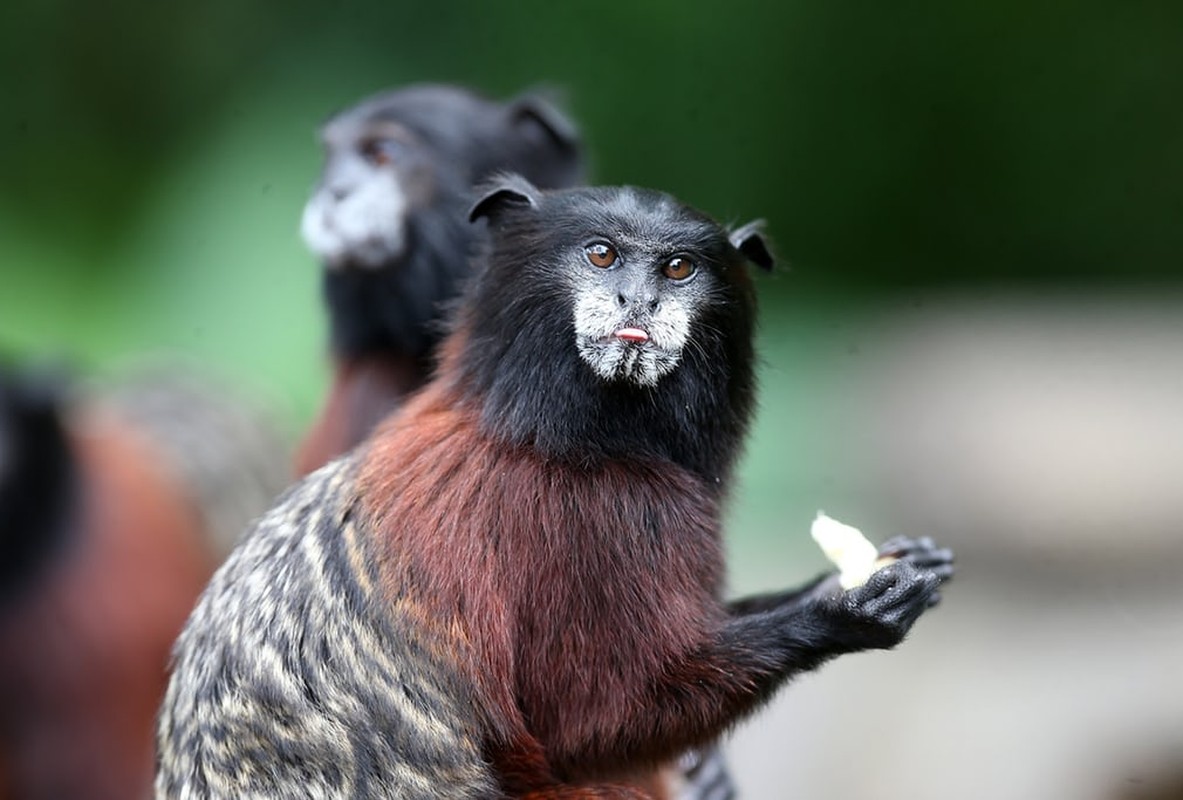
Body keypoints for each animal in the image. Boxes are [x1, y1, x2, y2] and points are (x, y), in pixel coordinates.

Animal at [157, 176, 955, 800]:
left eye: (678, 269)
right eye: (602, 255)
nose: (637, 301)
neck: (541, 431)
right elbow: (586, 726)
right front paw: (837, 614)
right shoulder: (600, 522)